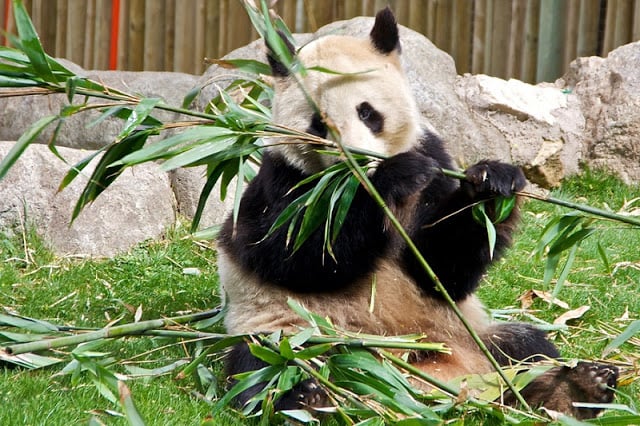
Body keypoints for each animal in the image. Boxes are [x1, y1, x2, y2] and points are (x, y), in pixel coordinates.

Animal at [216, 6, 620, 420]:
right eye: (319, 123)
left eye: (367, 112)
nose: (356, 159)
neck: (349, 184)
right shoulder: (283, 180)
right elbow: (294, 253)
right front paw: (393, 178)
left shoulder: (434, 161)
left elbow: (443, 267)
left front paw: (490, 184)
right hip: (294, 331)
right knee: (269, 368)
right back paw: (311, 400)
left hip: (472, 334)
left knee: (527, 348)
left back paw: (575, 389)